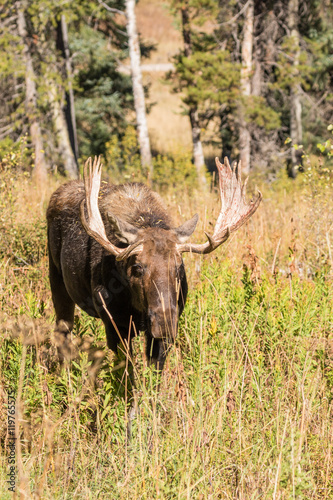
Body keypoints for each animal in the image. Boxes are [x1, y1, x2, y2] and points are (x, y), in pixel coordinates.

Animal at [46, 156, 260, 372]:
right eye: (138, 267)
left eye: (179, 267)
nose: (164, 323)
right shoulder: (115, 324)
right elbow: (126, 373)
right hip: (56, 279)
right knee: (62, 332)